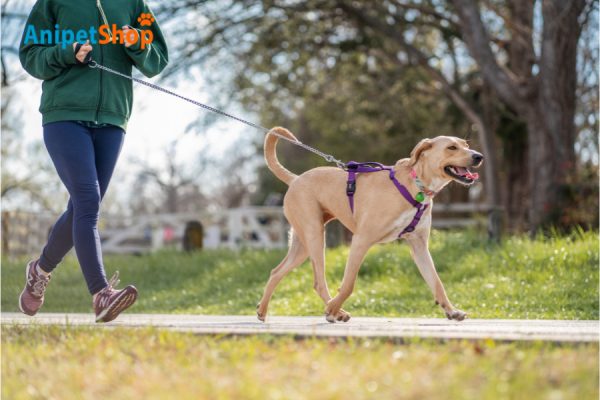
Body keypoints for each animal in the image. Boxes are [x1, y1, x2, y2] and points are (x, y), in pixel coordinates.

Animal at [256, 127, 482, 322]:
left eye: (465, 144)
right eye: (451, 147)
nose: (478, 156)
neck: (416, 185)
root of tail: (295, 179)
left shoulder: (419, 246)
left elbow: (436, 282)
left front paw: (451, 311)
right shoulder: (361, 240)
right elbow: (348, 285)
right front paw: (332, 309)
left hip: (302, 245)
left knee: (276, 272)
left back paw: (262, 310)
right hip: (314, 235)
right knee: (318, 281)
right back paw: (335, 310)